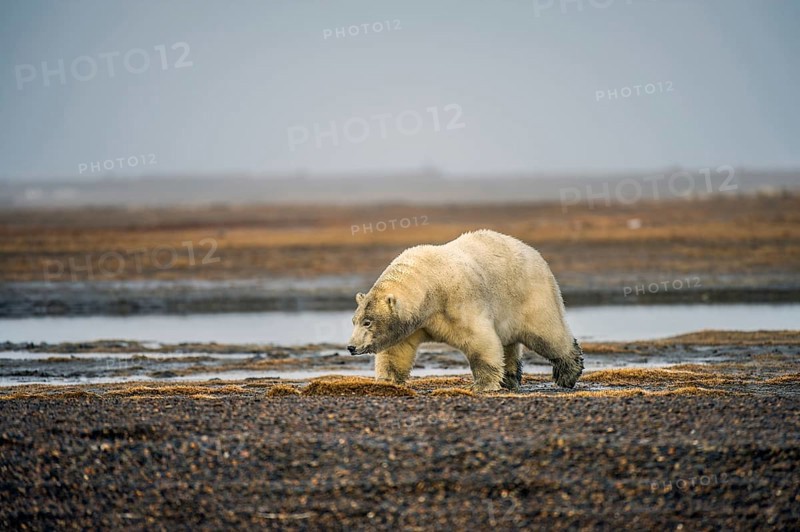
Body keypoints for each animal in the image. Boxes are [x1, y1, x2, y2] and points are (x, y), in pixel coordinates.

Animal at [347, 229, 583, 392]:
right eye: (354, 320)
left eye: (368, 321)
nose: (351, 347)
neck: (428, 285)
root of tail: (532, 251)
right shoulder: (413, 323)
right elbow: (397, 350)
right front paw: (387, 380)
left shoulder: (458, 301)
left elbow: (480, 340)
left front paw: (481, 385)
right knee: (509, 344)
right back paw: (509, 378)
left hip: (530, 294)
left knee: (547, 335)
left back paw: (568, 374)